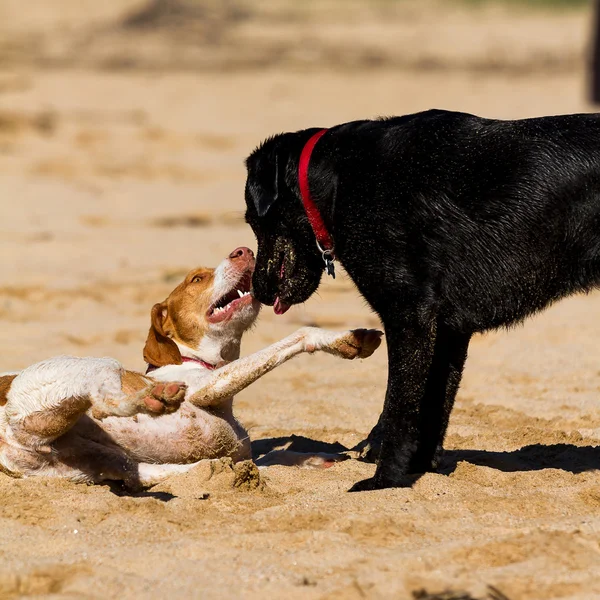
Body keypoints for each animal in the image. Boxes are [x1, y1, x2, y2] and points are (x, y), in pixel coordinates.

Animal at [0, 247, 382, 488]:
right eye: (196, 279)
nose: (245, 250)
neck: (195, 360)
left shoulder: (239, 451)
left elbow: (272, 455)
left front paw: (320, 456)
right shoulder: (208, 388)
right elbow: (299, 335)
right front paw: (343, 339)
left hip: (104, 464)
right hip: (88, 375)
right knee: (107, 401)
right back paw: (153, 397)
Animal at [244, 110, 600, 490]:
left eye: (252, 219)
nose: (258, 291)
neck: (335, 180)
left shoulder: (409, 315)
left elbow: (400, 407)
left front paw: (383, 481)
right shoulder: (448, 331)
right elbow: (432, 407)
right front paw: (419, 470)